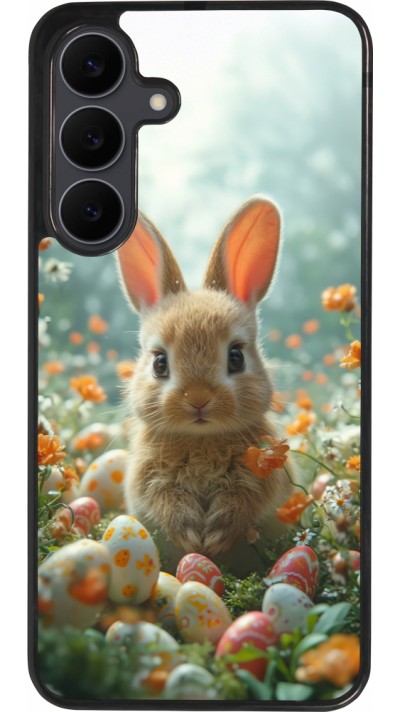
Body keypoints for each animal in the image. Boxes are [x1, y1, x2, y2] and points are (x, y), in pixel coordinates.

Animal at [116, 196, 293, 562]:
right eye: (159, 363)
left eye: (236, 357)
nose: (198, 399)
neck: (201, 439)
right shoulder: (148, 478)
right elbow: (164, 500)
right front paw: (190, 535)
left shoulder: (261, 476)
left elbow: (243, 501)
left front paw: (214, 536)